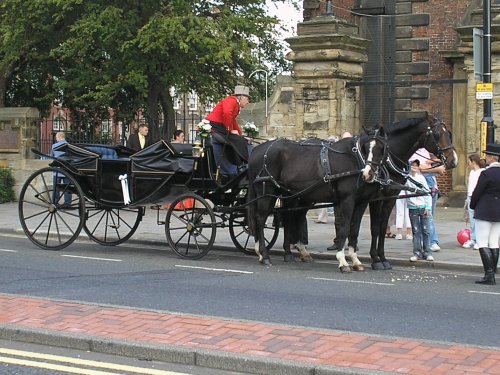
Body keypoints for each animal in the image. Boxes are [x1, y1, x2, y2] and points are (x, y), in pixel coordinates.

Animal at [248, 129, 388, 268]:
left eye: (382, 148)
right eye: (366, 148)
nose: (368, 173)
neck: (354, 158)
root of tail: (256, 149)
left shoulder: (361, 202)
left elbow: (354, 229)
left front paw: (355, 260)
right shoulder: (347, 200)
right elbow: (345, 227)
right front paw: (342, 261)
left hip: (285, 193)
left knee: (286, 218)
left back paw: (281, 254)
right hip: (266, 192)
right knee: (260, 219)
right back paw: (264, 254)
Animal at [340, 113, 458, 272]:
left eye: (449, 133)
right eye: (437, 134)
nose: (454, 160)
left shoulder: (390, 197)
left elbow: (383, 227)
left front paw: (383, 258)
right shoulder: (376, 199)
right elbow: (375, 227)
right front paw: (375, 259)